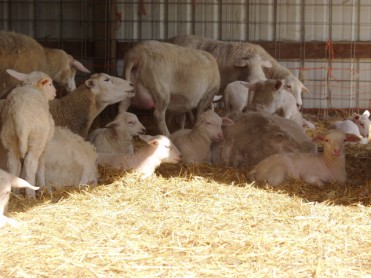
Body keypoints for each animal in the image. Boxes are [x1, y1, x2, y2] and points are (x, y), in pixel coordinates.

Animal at [0, 69, 56, 198]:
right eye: (50, 84)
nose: (55, 93)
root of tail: (19, 111)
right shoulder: (46, 144)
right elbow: (41, 166)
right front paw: (43, 187)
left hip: (9, 134)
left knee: (13, 163)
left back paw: (15, 192)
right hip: (37, 137)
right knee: (30, 163)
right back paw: (31, 195)